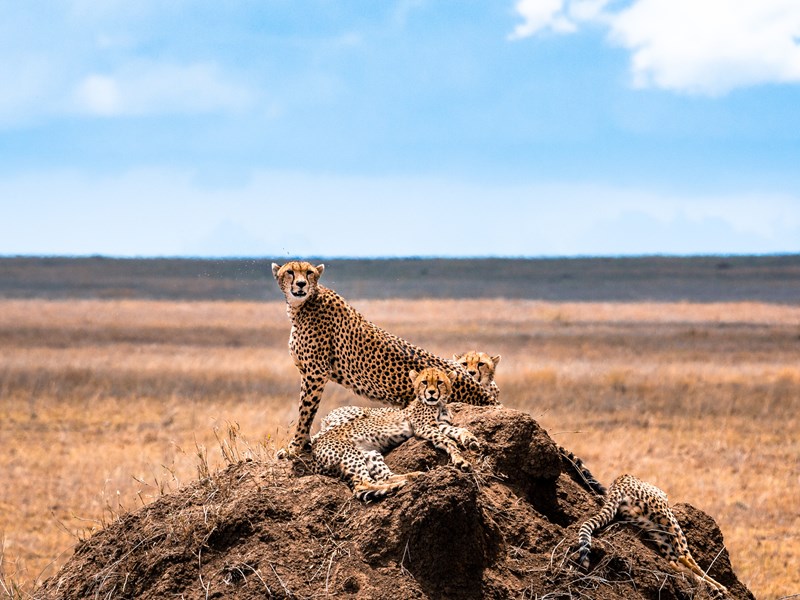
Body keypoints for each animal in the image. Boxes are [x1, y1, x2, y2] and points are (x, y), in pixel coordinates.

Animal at [272, 260, 496, 458]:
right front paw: (303, 444)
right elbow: (307, 411)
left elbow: (305, 411)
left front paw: (294, 448)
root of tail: (489, 397)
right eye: (290, 272)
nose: (301, 284)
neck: (302, 306)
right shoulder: (309, 371)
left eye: (309, 272)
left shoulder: (316, 373)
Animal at [310, 366, 478, 502]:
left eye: (439, 382)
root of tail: (315, 448)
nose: (431, 392)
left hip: (370, 454)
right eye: (424, 382)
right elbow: (447, 440)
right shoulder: (424, 427)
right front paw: (460, 460)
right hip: (350, 454)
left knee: (383, 477)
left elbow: (458, 430)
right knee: (362, 484)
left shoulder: (440, 425)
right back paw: (396, 486)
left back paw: (411, 477)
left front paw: (470, 441)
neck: (438, 404)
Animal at [572, 474, 728, 596]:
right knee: (684, 556)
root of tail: (617, 484)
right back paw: (717, 587)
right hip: (667, 518)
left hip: (653, 528)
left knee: (674, 562)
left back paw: (710, 585)